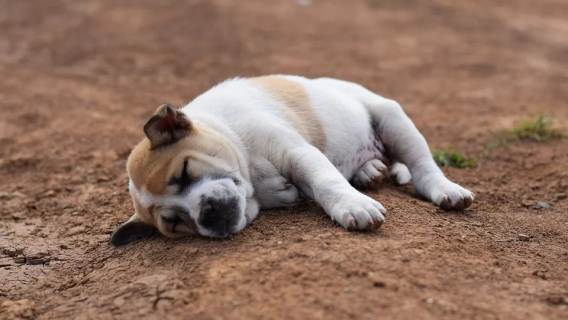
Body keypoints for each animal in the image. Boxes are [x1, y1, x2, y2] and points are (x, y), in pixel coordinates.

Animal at [110, 75, 470, 245]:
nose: (207, 214)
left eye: (184, 173)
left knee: (423, 167)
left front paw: (353, 206)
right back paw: (369, 171)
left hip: (392, 118)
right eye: (174, 223)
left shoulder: (296, 152)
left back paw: (446, 190)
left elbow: (326, 181)